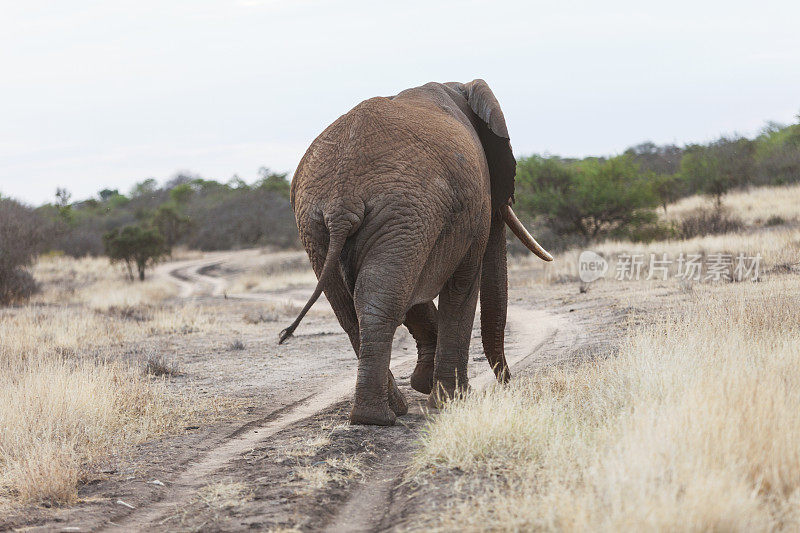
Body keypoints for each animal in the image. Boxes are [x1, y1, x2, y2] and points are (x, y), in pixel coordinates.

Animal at [276, 79, 552, 426]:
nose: (509, 383)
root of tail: (342, 200)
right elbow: (461, 286)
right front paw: (453, 400)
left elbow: (416, 288)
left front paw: (426, 385)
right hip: (400, 210)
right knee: (383, 298)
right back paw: (379, 416)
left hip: (330, 224)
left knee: (356, 304)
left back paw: (383, 411)